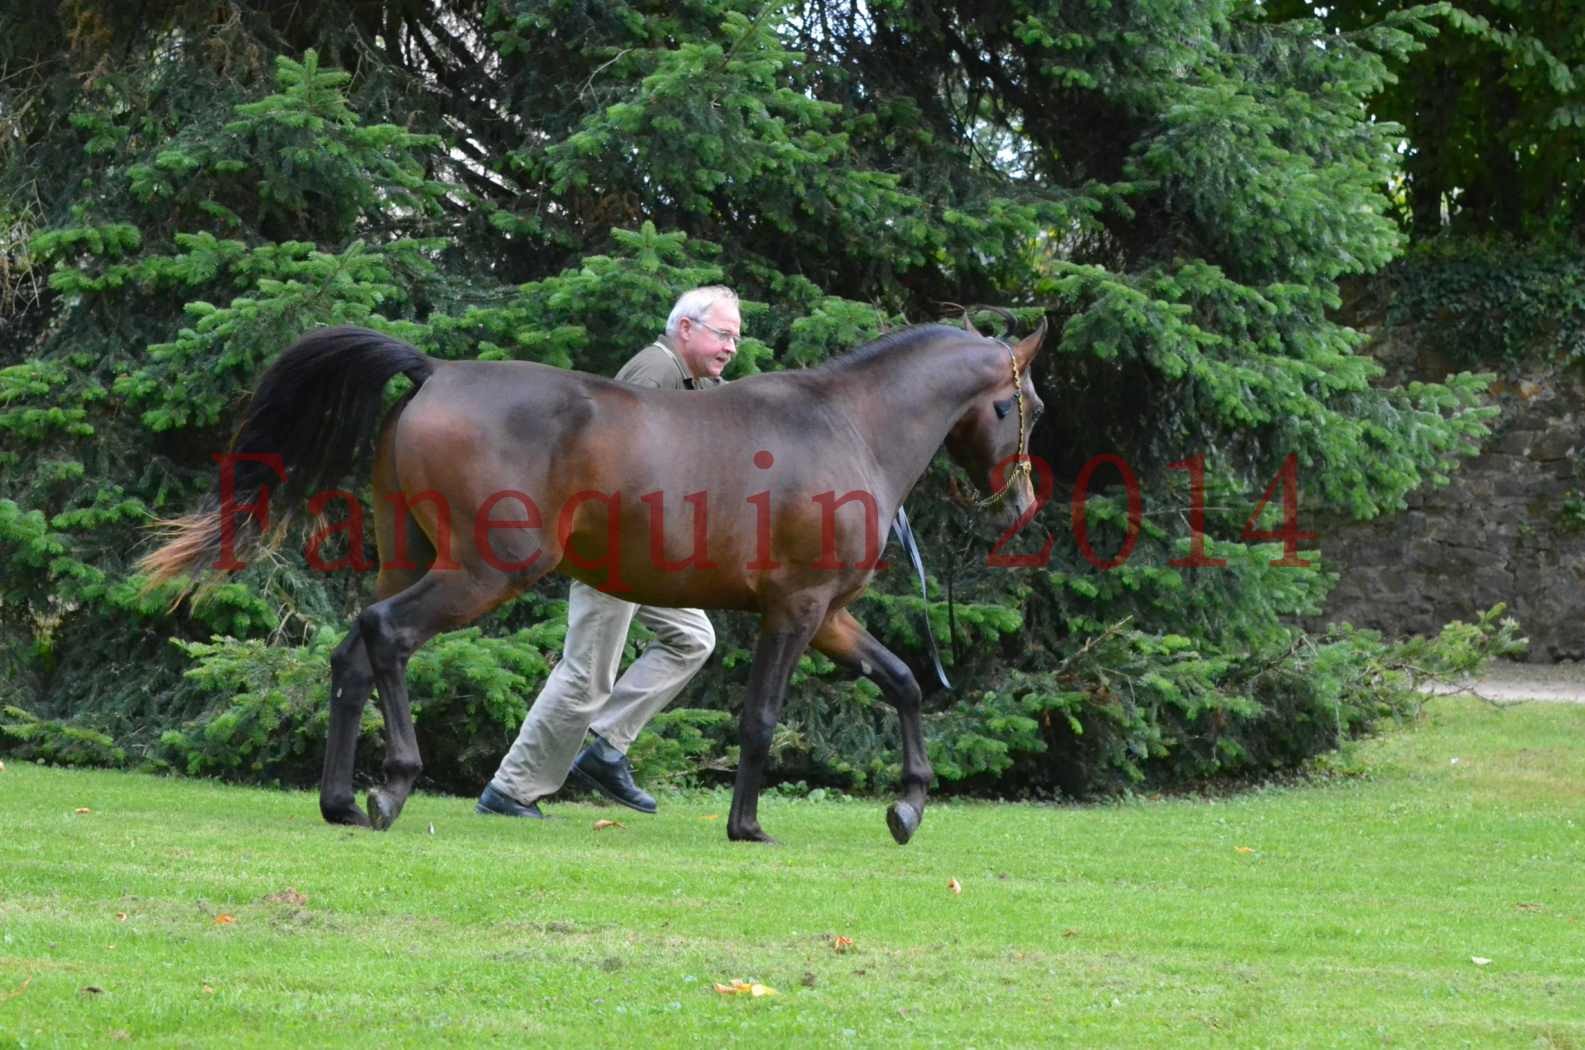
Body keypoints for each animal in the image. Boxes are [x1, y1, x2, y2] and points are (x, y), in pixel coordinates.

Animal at [142, 320, 1046, 850]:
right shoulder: (793, 610)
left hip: (412, 557)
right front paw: (748, 825)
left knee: (351, 654)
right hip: (482, 573)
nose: (1023, 502)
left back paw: (339, 801)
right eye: (1026, 403)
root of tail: (436, 372)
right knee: (389, 636)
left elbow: (903, 683)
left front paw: (907, 807)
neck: (846, 425)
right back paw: (393, 786)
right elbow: (760, 719)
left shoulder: (830, 617)